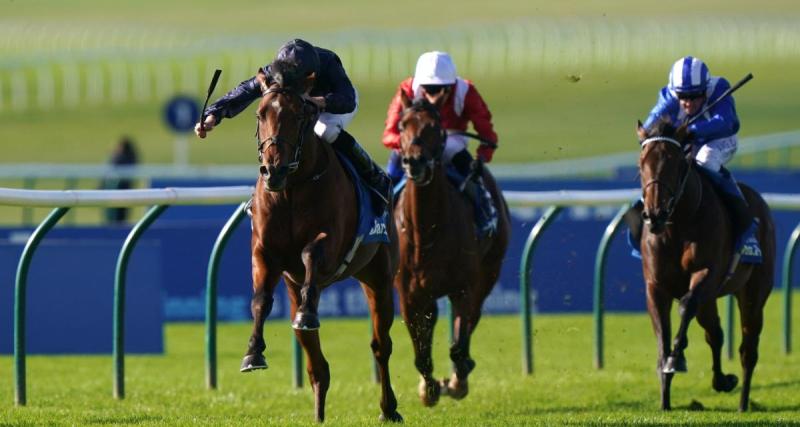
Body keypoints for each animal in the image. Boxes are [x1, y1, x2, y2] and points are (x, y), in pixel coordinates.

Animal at [238, 68, 400, 422]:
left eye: (299, 116)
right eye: (260, 114)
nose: (273, 169)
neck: (292, 189)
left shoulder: (331, 243)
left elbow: (311, 251)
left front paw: (309, 312)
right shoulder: (265, 253)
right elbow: (260, 300)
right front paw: (253, 353)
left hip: (379, 277)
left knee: (381, 345)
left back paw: (389, 408)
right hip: (293, 288)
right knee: (317, 363)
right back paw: (318, 410)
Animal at [390, 95, 510, 410]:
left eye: (435, 126)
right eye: (402, 125)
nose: (414, 161)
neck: (426, 230)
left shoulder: (464, 287)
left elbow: (458, 344)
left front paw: (455, 380)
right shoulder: (408, 294)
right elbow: (421, 352)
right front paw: (429, 388)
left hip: (488, 272)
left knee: (469, 319)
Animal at [636, 119, 776, 412]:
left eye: (675, 163)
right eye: (641, 163)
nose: (654, 215)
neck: (677, 225)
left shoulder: (707, 273)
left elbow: (686, 305)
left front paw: (676, 358)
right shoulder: (655, 285)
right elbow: (663, 334)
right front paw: (664, 397)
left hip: (753, 293)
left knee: (748, 349)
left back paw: (743, 403)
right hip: (710, 299)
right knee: (715, 334)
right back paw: (722, 380)